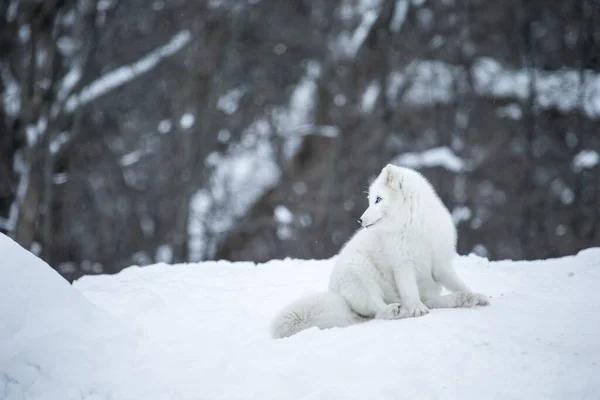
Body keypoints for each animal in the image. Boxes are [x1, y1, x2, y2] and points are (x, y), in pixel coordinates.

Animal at [270, 164, 490, 340]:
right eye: (370, 200)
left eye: (378, 199)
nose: (360, 220)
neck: (411, 225)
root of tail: (339, 297)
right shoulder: (403, 265)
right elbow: (410, 293)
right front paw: (416, 310)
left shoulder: (440, 264)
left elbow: (458, 282)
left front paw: (476, 295)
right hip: (360, 272)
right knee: (380, 311)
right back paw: (399, 310)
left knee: (431, 301)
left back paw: (463, 298)